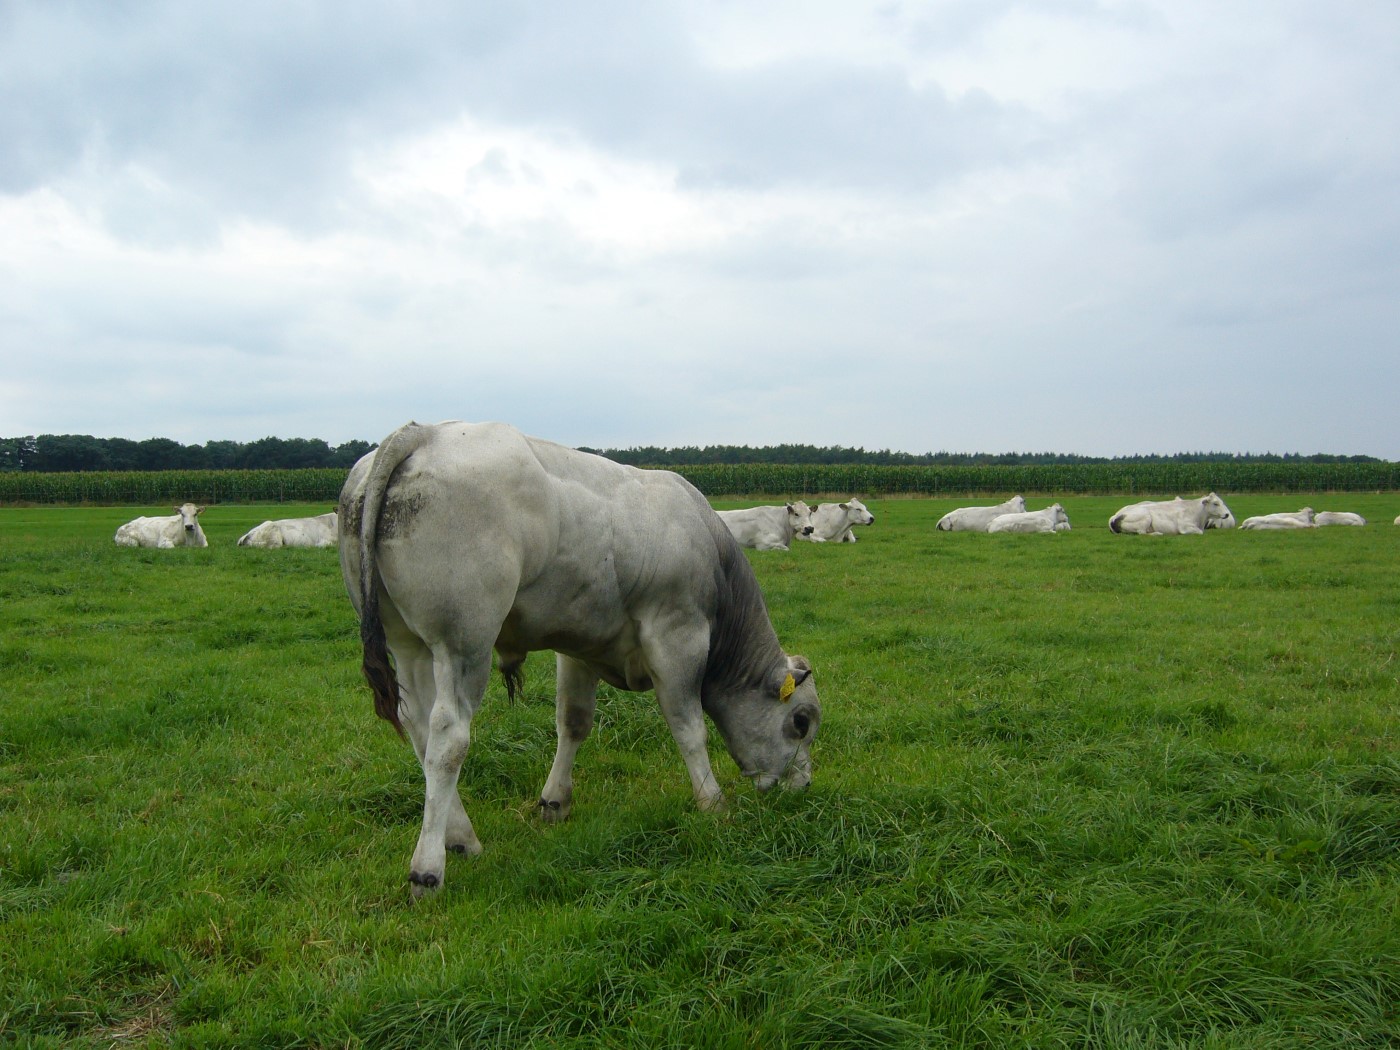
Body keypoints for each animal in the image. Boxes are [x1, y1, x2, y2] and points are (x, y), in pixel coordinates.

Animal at [338, 422, 817, 901]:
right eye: (801, 722)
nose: (804, 786)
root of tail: (425, 433)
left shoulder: (581, 647)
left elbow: (573, 722)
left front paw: (555, 801)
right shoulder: (678, 636)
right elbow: (690, 728)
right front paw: (712, 802)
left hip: (408, 644)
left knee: (418, 729)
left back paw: (461, 837)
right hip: (462, 643)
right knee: (447, 738)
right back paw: (428, 869)